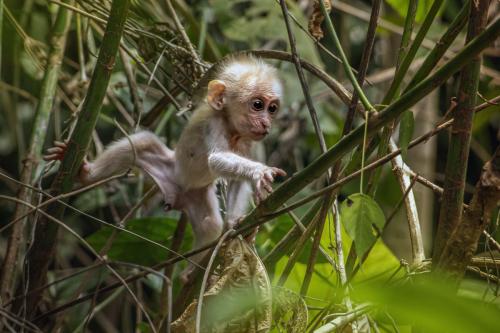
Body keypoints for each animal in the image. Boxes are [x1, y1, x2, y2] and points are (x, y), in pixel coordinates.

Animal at [45, 55, 288, 280]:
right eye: (258, 105)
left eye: (272, 108)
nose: (266, 123)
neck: (234, 132)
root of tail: (177, 194)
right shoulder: (214, 123)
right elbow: (215, 159)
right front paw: (259, 172)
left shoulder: (249, 142)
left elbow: (236, 181)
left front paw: (234, 224)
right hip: (168, 168)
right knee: (143, 142)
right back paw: (86, 174)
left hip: (197, 196)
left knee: (210, 224)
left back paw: (192, 272)